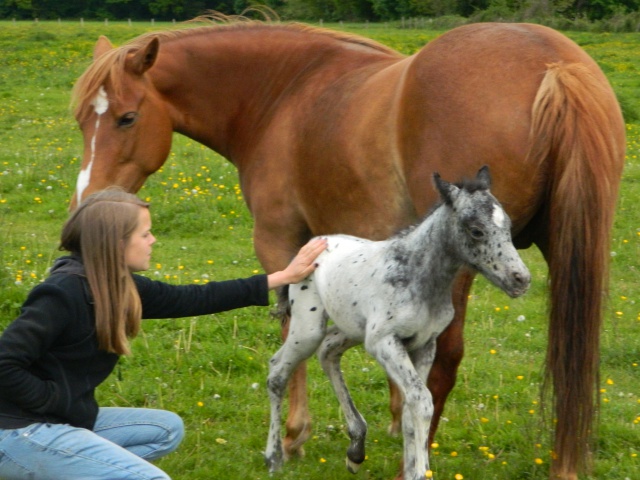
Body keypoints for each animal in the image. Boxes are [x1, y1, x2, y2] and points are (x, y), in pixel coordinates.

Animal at [264, 167, 528, 478]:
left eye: (508, 226)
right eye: (476, 230)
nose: (521, 279)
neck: (416, 275)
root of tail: (308, 246)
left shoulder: (424, 344)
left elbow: (409, 409)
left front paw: (411, 469)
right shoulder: (385, 342)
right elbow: (422, 400)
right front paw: (421, 471)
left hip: (352, 329)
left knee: (327, 351)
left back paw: (356, 449)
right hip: (308, 326)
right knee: (278, 370)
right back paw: (274, 456)